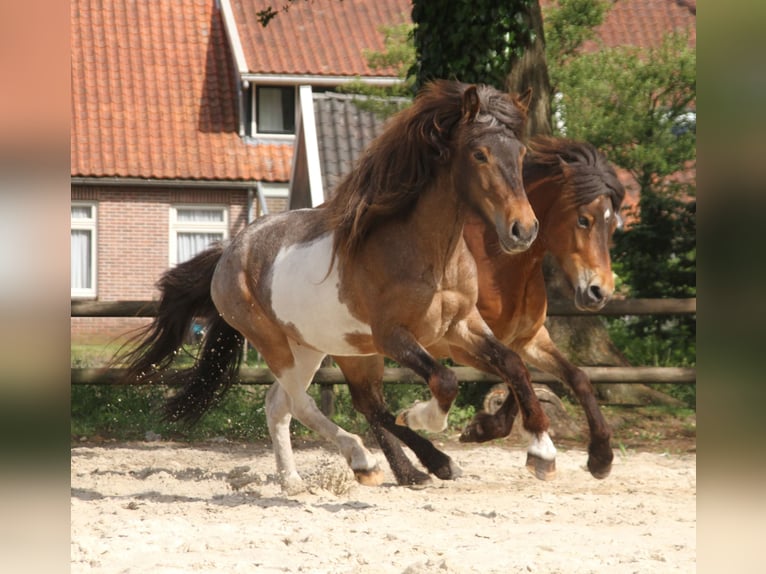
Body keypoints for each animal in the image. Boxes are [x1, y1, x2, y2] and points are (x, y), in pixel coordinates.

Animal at [114, 80, 555, 493]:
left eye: (520, 155)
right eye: (479, 154)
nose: (523, 229)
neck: (430, 257)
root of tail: (231, 250)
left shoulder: (460, 329)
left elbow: (513, 365)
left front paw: (541, 453)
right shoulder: (394, 336)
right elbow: (444, 381)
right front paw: (422, 417)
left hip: (314, 346)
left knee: (283, 404)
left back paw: (296, 481)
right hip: (277, 342)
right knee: (309, 402)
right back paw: (377, 460)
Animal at [332, 136, 626, 485]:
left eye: (613, 226)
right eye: (583, 219)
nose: (599, 292)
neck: (499, 266)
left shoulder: (528, 339)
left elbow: (571, 377)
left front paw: (600, 457)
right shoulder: (460, 347)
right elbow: (519, 377)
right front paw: (501, 436)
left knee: (367, 403)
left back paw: (406, 471)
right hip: (352, 348)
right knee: (368, 404)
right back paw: (417, 466)